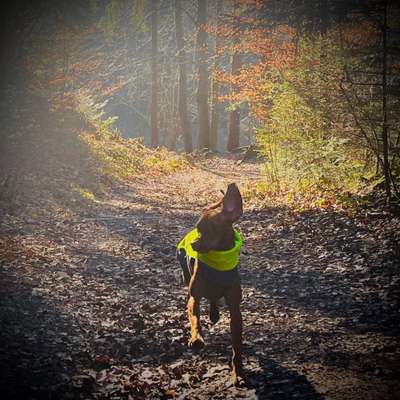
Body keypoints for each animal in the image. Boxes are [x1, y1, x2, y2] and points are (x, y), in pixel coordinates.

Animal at [177, 183, 244, 382]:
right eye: (198, 228)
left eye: (212, 228)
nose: (193, 244)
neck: (217, 266)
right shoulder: (195, 297)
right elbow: (195, 319)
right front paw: (196, 338)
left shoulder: (235, 309)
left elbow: (237, 344)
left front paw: (238, 369)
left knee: (214, 299)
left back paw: (214, 313)